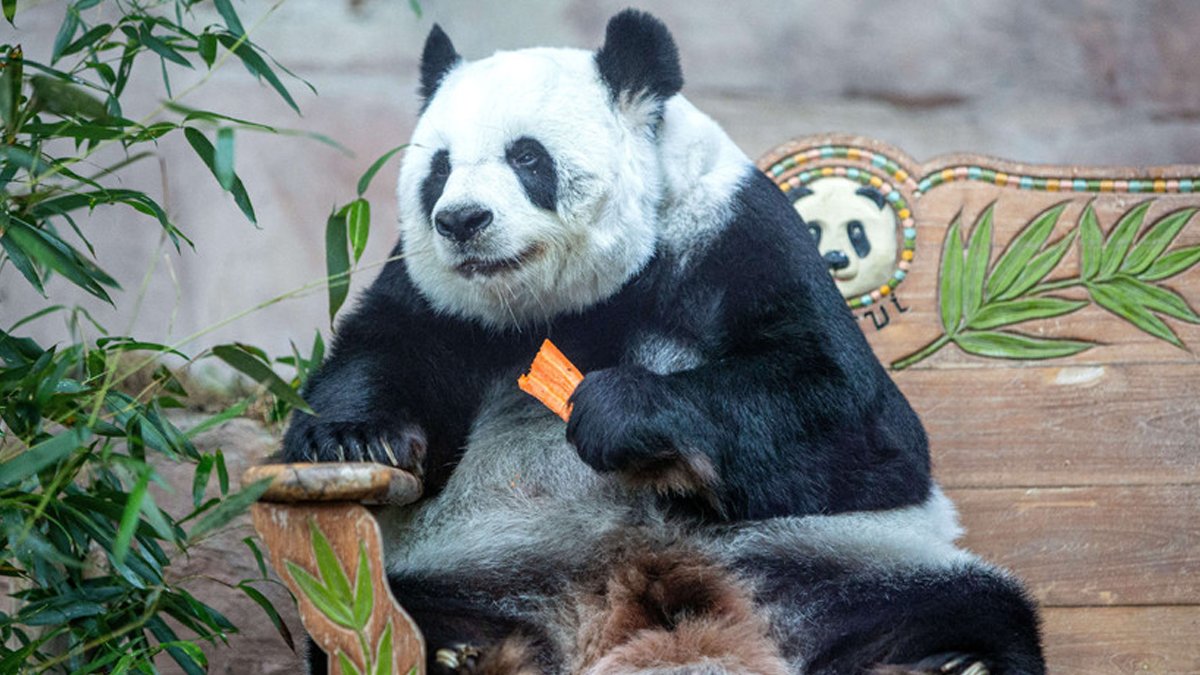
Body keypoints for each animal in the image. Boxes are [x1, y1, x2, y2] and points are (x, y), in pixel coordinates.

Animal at [282, 10, 1045, 675]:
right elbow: (384, 350)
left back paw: (949, 661)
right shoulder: (434, 298)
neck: (566, 307)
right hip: (480, 566)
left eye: (526, 157)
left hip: (838, 559)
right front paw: (353, 438)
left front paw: (619, 412)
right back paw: (458, 653)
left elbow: (862, 425)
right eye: (438, 168)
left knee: (970, 607)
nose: (462, 220)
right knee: (389, 615)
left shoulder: (735, 233)